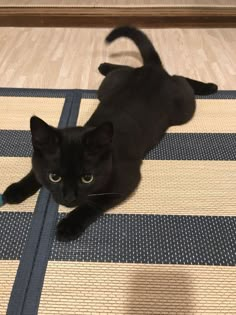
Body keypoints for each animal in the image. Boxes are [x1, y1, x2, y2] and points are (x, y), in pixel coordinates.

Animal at [1, 27, 218, 242]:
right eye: (54, 177)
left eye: (87, 178)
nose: (69, 198)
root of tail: (151, 69)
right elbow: (35, 172)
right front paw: (16, 190)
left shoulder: (126, 179)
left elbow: (94, 203)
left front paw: (69, 225)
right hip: (106, 87)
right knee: (127, 68)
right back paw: (104, 65)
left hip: (184, 109)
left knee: (180, 78)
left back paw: (209, 86)